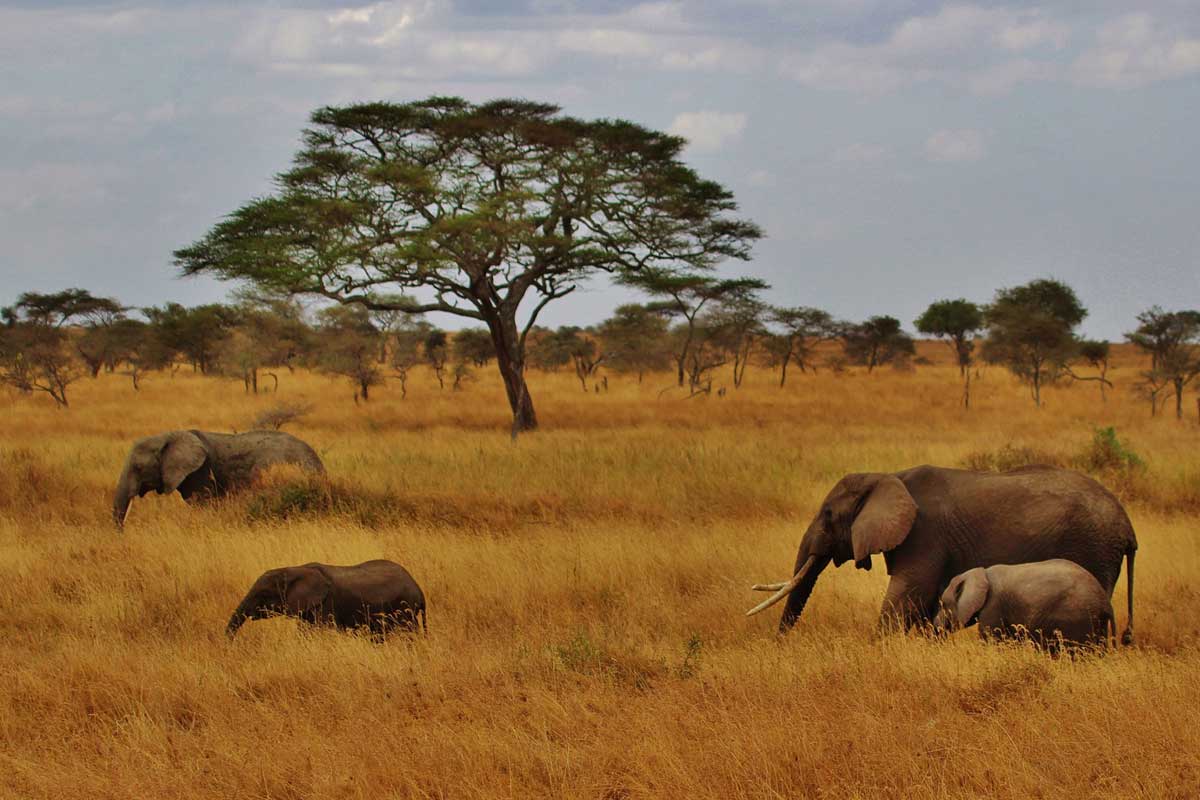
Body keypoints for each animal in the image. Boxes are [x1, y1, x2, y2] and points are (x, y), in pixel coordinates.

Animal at [226, 561, 429, 642]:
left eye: (263, 593)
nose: (231, 644)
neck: (296, 569)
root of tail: (419, 590)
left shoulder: (326, 605)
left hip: (404, 609)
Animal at [744, 462, 1137, 642]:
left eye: (828, 515)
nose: (778, 643)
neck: (887, 477)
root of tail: (1128, 528)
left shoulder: (924, 535)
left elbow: (906, 598)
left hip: (1095, 548)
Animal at [926, 556, 1113, 652]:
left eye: (943, 604)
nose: (935, 625)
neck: (981, 573)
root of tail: (1105, 603)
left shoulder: (993, 605)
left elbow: (990, 638)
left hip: (1076, 617)